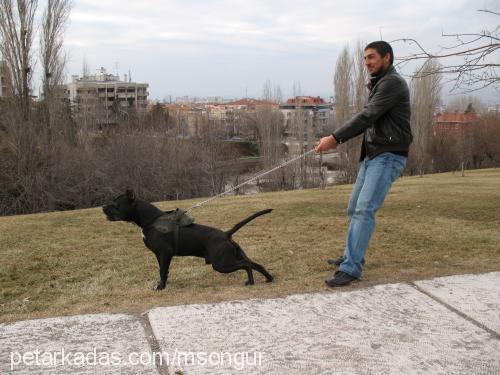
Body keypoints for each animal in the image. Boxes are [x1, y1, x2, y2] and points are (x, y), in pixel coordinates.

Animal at [101, 191, 274, 290]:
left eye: (116, 203)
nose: (102, 206)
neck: (151, 220)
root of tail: (226, 234)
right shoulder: (160, 255)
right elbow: (164, 271)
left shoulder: (164, 253)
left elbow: (162, 271)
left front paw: (160, 287)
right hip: (232, 257)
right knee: (255, 264)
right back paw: (269, 279)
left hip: (221, 264)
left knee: (246, 265)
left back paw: (251, 282)